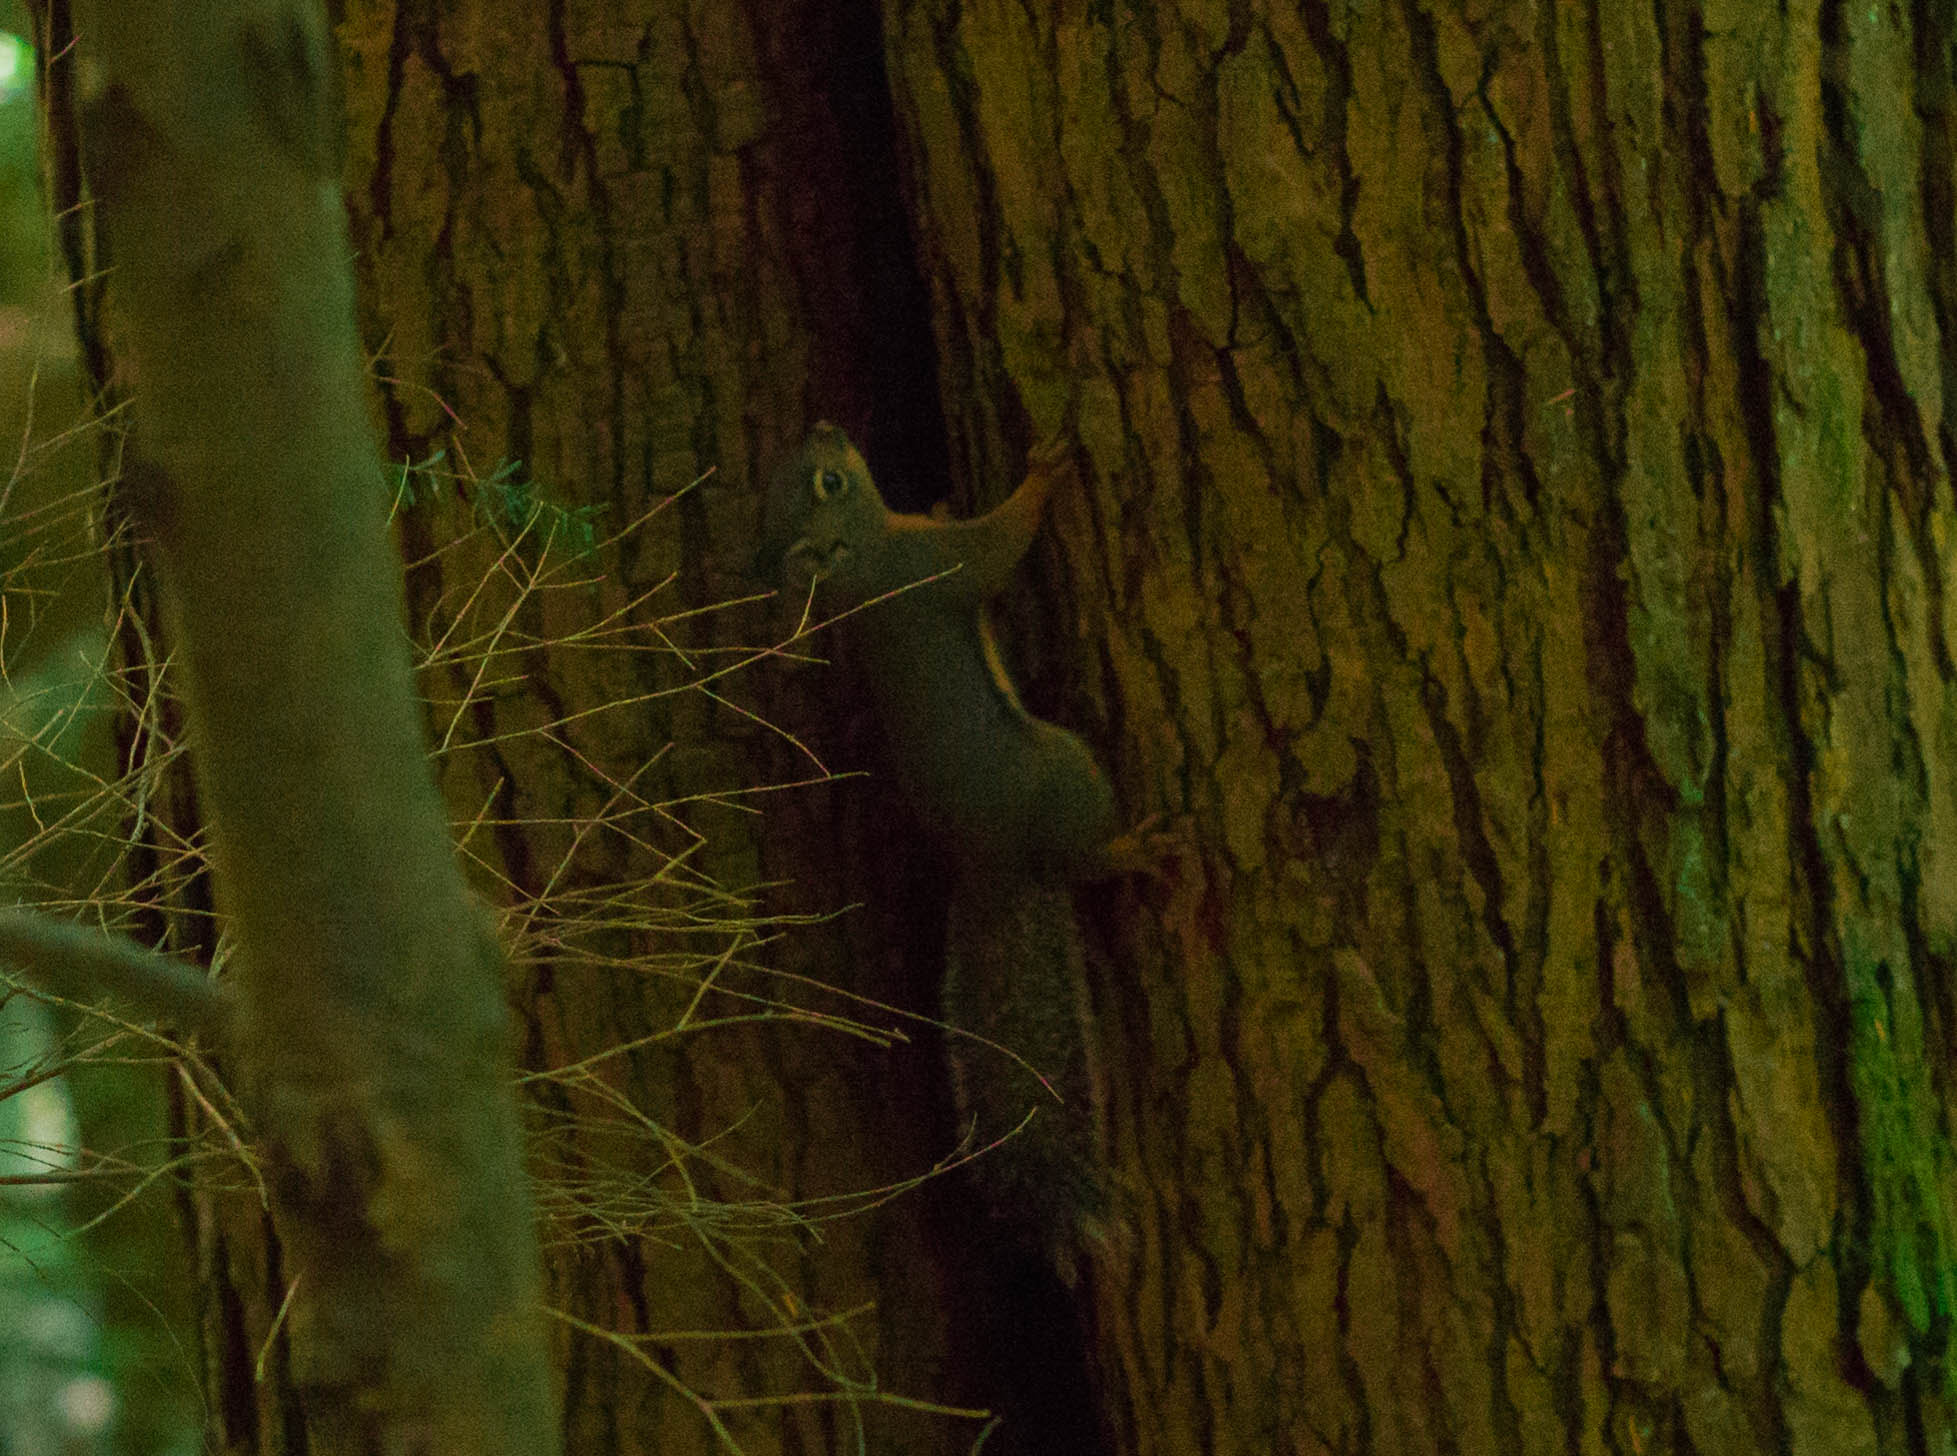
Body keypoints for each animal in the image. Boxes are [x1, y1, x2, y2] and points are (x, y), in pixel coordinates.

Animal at [755, 420, 1142, 1283]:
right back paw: (1137, 851)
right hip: (1066, 768)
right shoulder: (941, 565)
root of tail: (995, 866)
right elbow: (1000, 544)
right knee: (1084, 857)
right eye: (830, 483)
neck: (866, 568)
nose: (825, 427)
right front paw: (1043, 476)